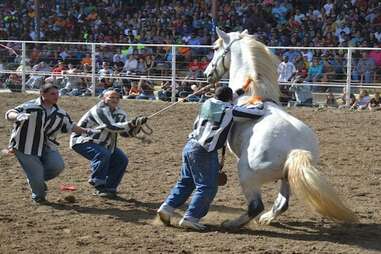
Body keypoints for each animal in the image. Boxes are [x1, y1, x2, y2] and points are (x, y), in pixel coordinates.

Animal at [203, 27, 354, 228]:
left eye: (215, 48)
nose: (207, 73)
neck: (250, 93)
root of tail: (295, 149)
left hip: (247, 174)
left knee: (256, 206)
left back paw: (232, 224)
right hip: (287, 176)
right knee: (282, 204)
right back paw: (267, 218)